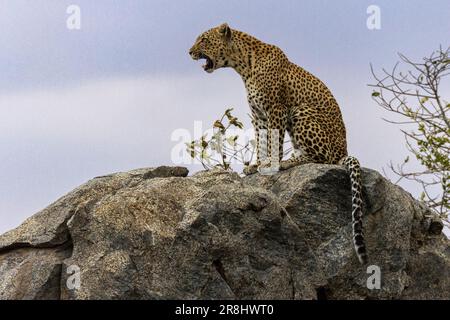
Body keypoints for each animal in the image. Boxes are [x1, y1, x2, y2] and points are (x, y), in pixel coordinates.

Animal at [188, 23, 368, 264]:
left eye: (204, 40)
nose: (189, 52)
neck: (243, 66)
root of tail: (344, 151)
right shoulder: (259, 116)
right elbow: (262, 142)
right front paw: (256, 165)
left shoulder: (277, 110)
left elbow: (276, 144)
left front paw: (272, 165)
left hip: (301, 111)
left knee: (322, 158)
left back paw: (289, 162)